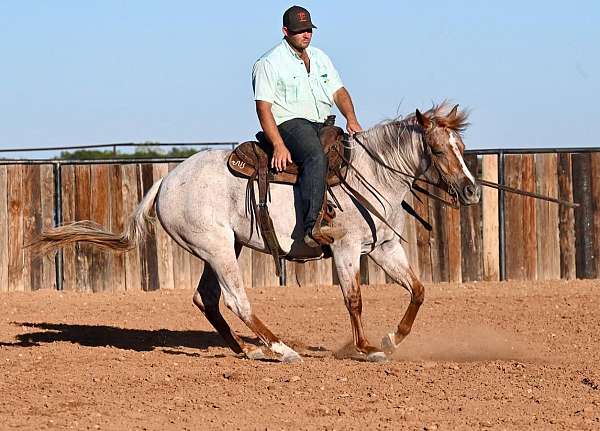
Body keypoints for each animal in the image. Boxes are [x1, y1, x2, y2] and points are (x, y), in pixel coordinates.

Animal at [34, 103, 482, 362]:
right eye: (438, 150)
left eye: (461, 147)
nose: (471, 190)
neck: (369, 175)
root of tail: (166, 181)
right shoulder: (346, 249)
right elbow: (353, 300)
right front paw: (366, 348)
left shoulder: (384, 248)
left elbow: (418, 290)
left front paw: (391, 338)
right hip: (216, 248)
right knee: (236, 300)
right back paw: (280, 348)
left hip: (223, 247)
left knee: (207, 299)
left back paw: (247, 349)